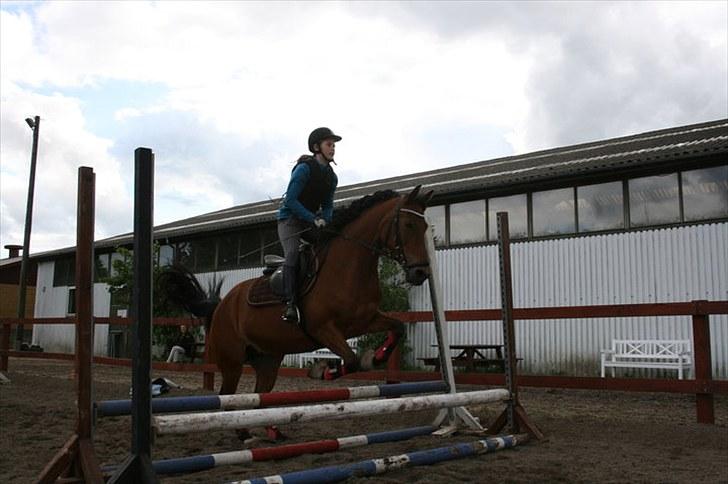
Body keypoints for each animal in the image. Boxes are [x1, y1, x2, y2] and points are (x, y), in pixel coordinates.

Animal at [159, 183, 432, 436]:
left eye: (425, 227)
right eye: (408, 225)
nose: (420, 273)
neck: (348, 267)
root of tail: (221, 305)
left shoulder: (365, 320)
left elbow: (397, 328)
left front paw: (374, 358)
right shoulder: (323, 329)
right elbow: (352, 361)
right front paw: (323, 371)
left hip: (267, 359)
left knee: (260, 396)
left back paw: (269, 432)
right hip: (232, 361)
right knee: (228, 397)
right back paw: (243, 434)